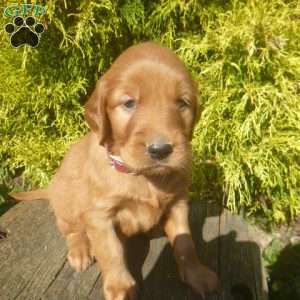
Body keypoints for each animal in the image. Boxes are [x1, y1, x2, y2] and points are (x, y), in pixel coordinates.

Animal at [10, 42, 218, 300]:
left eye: (182, 103)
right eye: (129, 103)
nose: (160, 150)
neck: (142, 176)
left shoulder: (178, 201)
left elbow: (185, 243)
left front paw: (196, 274)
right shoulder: (100, 215)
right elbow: (111, 252)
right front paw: (121, 287)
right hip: (67, 202)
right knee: (71, 230)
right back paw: (80, 251)